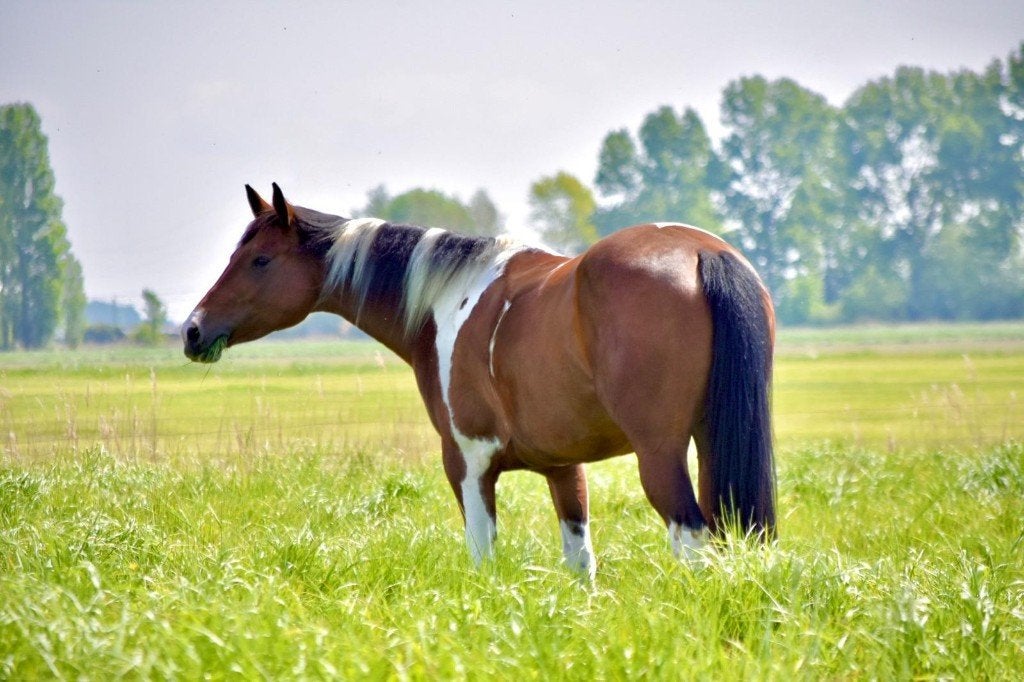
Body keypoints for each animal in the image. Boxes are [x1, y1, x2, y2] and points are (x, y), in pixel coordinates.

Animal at [182, 183, 775, 579]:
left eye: (260, 260)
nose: (192, 330)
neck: (445, 300)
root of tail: (702, 253)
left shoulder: (467, 463)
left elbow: (483, 558)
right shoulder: (564, 469)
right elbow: (579, 562)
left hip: (661, 455)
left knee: (692, 538)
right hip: (713, 446)